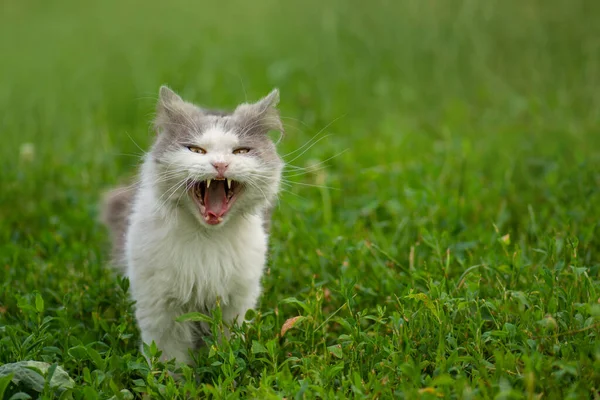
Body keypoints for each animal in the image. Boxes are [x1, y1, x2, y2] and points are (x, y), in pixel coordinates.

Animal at [100, 87, 284, 366]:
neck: (206, 236)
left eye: (241, 151)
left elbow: (227, 347)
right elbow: (170, 360)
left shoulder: (235, 303)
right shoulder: (161, 308)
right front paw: (170, 378)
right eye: (196, 150)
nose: (220, 165)